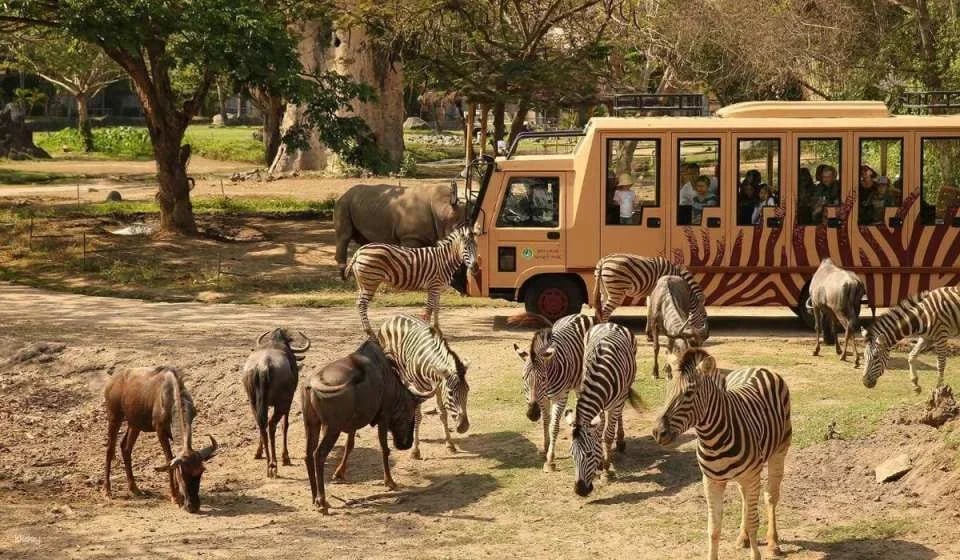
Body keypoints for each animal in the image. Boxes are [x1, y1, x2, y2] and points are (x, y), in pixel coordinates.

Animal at [335, 183, 465, 279]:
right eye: (458, 227)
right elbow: (412, 258)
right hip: (344, 203)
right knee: (344, 236)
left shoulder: (430, 236)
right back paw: (344, 277)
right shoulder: (411, 237)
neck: (442, 210)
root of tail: (343, 194)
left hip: (364, 205)